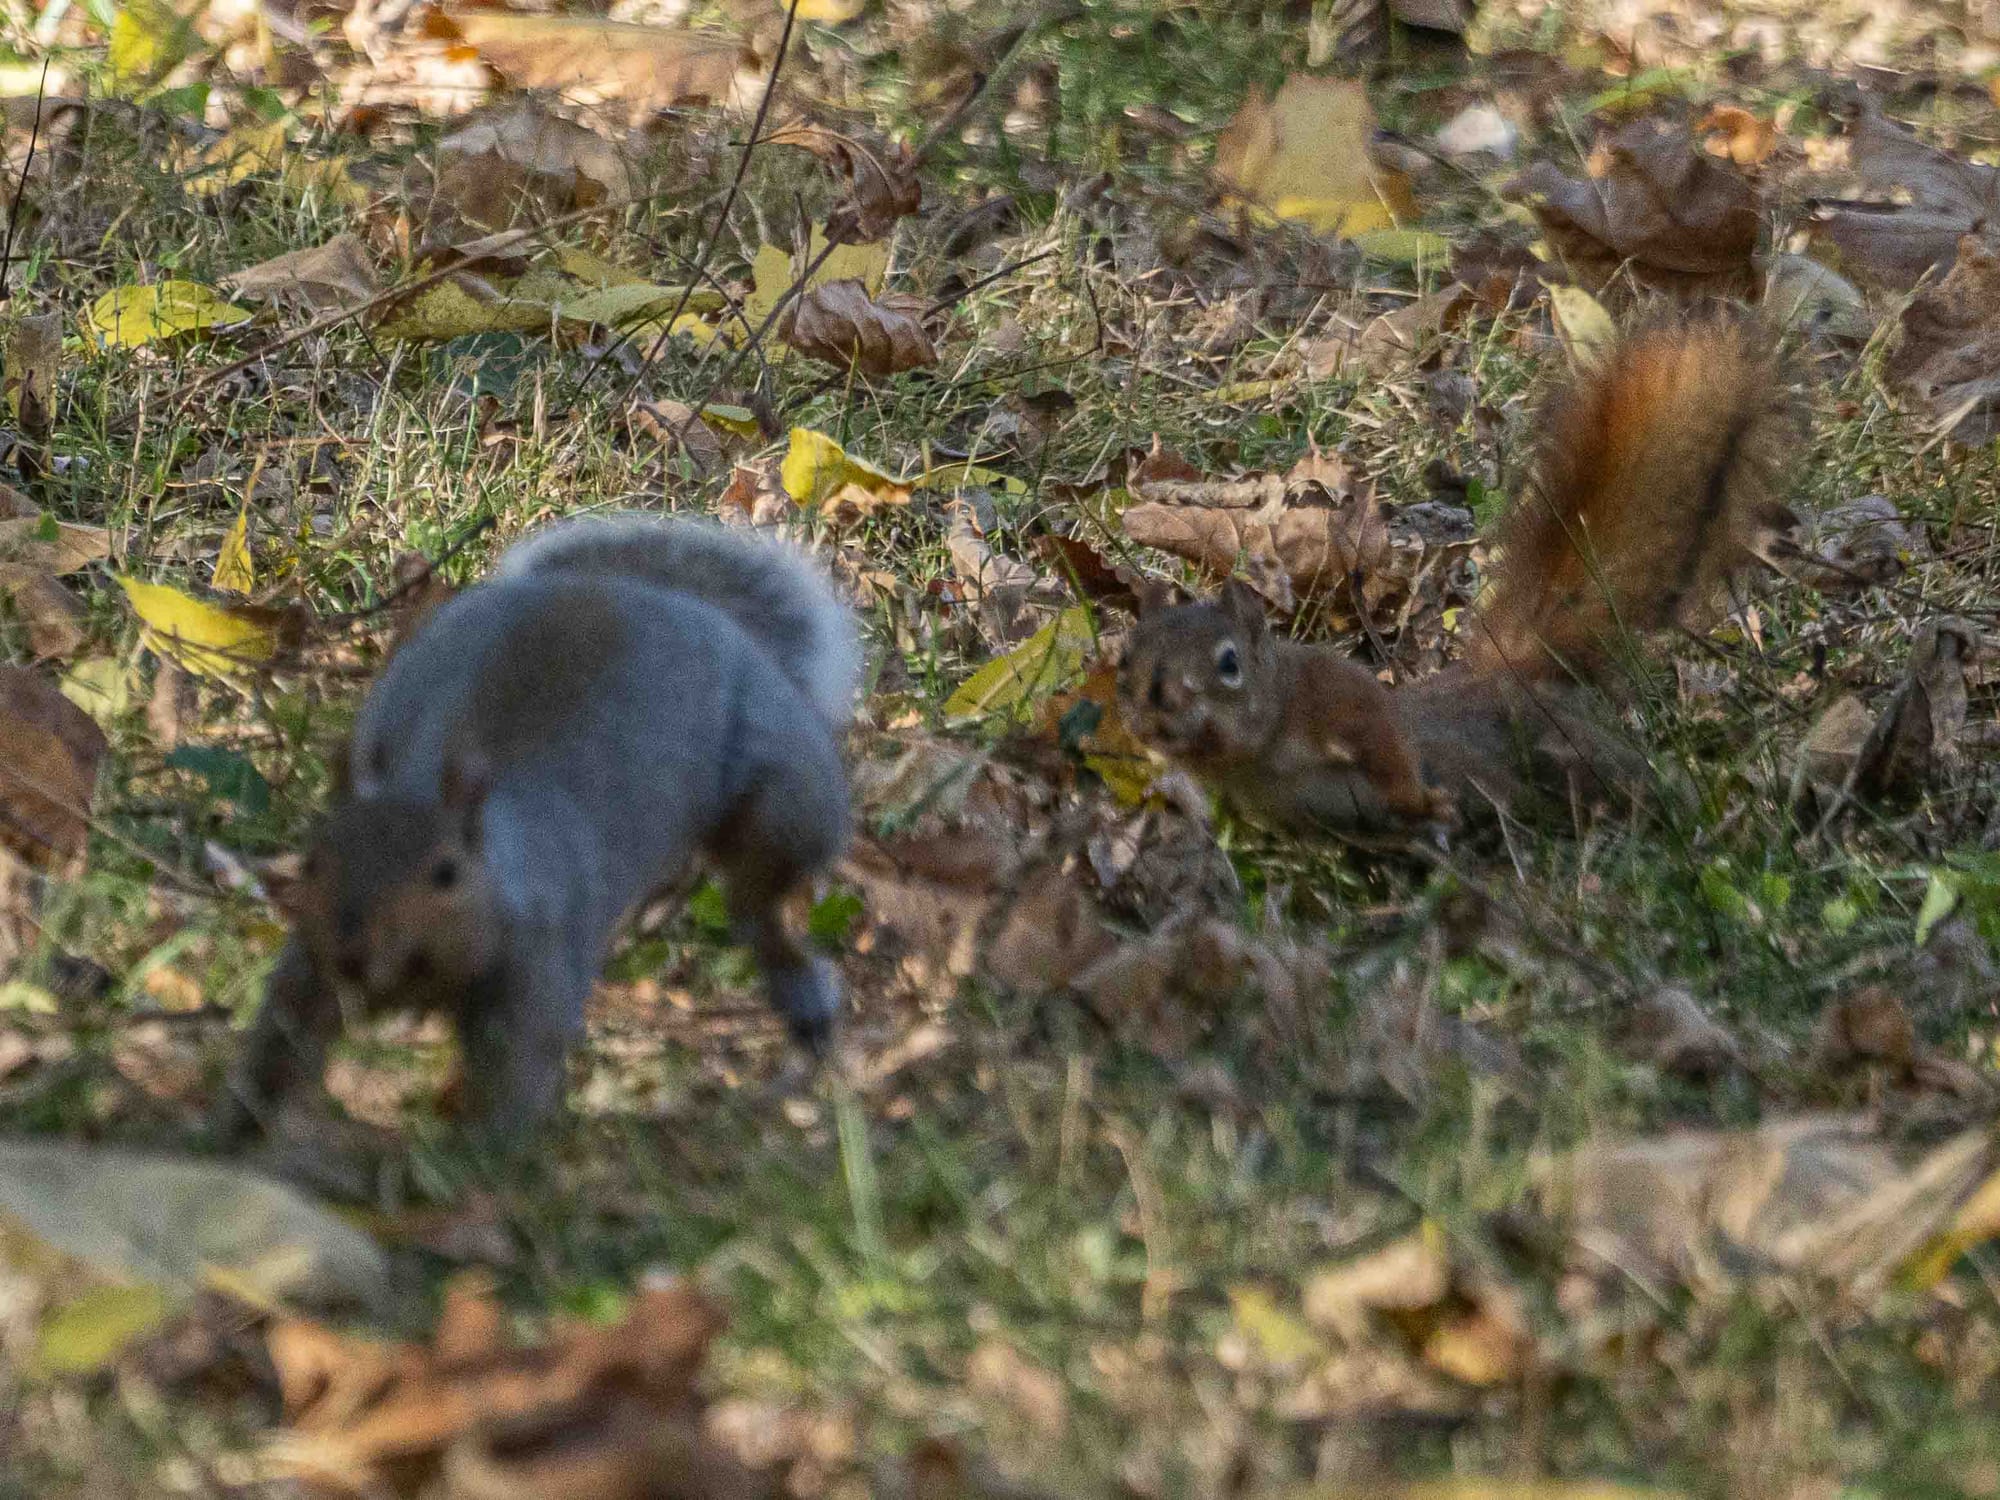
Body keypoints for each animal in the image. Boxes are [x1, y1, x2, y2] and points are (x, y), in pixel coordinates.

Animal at [215, 513, 862, 1142]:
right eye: (313, 860)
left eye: (447, 873)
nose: (353, 949)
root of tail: (667, 598)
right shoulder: (312, 963)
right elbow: (284, 1032)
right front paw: (236, 1121)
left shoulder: (536, 966)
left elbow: (518, 1072)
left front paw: (473, 1157)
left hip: (783, 799)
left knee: (760, 905)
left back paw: (795, 992)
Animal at [1117, 314, 1797, 837]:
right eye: (1126, 658)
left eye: (1230, 664)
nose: (1152, 715)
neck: (1246, 757)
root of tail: (1509, 679)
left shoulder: (1335, 696)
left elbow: (1390, 748)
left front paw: (1421, 802)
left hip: (1569, 752)